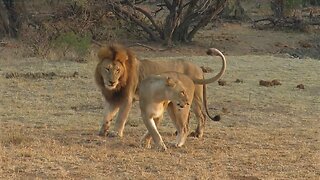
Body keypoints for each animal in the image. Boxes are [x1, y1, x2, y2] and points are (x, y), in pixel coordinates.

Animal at [94, 44, 226, 138]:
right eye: (107, 69)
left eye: (117, 70)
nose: (111, 82)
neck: (118, 83)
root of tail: (199, 68)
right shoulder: (113, 97)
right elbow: (107, 114)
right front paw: (102, 131)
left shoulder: (127, 98)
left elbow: (121, 116)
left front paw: (115, 133)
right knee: (188, 115)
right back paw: (178, 132)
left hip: (194, 98)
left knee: (202, 116)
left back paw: (198, 134)